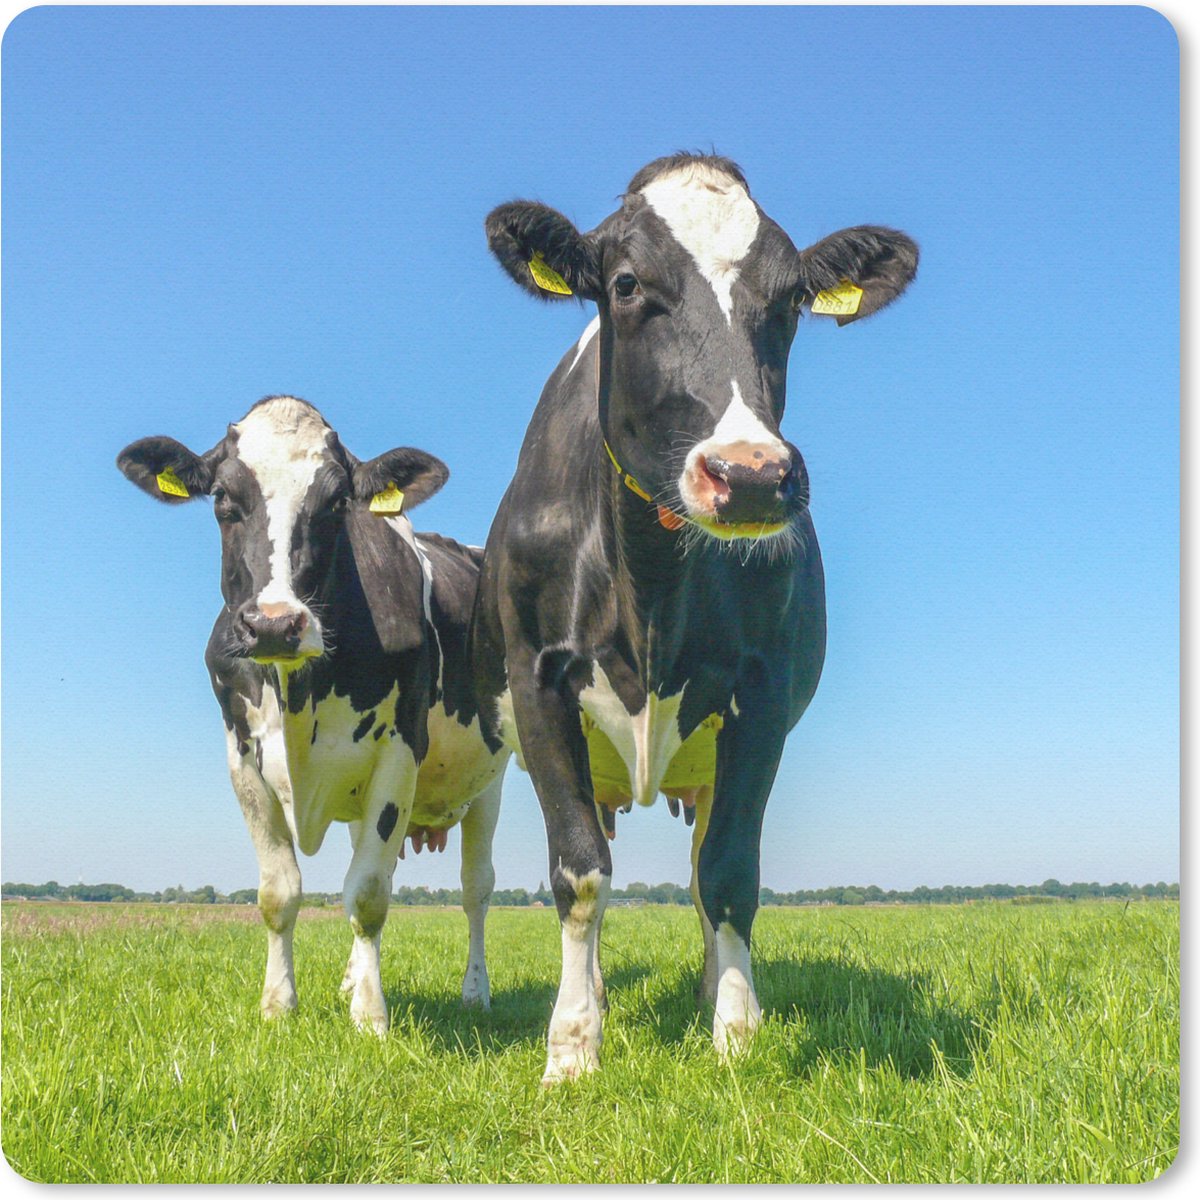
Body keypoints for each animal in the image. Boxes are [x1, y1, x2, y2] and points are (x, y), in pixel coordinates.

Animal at [117, 395, 508, 1034]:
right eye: (222, 498)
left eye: (337, 502)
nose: (274, 623)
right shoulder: (242, 759)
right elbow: (280, 891)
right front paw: (279, 1005)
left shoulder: (400, 752)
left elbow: (369, 892)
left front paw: (370, 1017)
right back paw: (353, 976)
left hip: (490, 782)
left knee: (476, 888)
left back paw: (475, 991)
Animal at [472, 153, 917, 1083]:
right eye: (627, 284)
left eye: (790, 300)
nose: (748, 476)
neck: (650, 580)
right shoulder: (538, 684)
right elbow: (580, 873)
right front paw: (572, 1046)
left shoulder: (761, 698)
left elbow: (729, 875)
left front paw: (736, 1034)